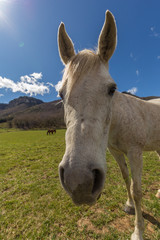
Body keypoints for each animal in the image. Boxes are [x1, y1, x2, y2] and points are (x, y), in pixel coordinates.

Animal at [57, 10, 159, 240]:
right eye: (60, 94)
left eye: (112, 89)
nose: (79, 183)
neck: (118, 120)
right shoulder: (115, 151)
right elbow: (125, 178)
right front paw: (128, 205)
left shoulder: (135, 152)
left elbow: (137, 189)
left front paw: (138, 231)